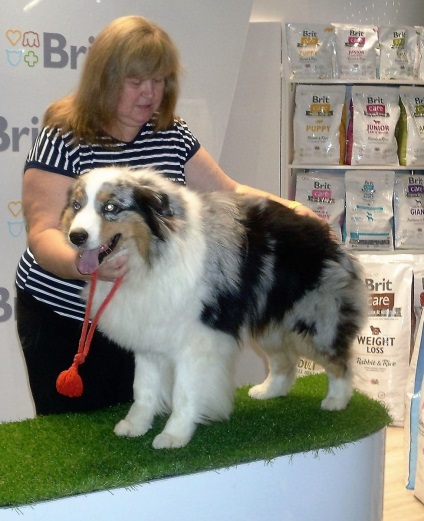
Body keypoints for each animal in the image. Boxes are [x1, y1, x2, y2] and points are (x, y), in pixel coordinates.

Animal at [60, 166, 368, 446]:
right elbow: (143, 387)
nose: (76, 236)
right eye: (76, 206)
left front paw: (174, 435)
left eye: (110, 207)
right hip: (269, 320)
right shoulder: (150, 333)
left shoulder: (196, 339)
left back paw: (337, 400)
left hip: (315, 319)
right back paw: (269, 391)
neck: (151, 256)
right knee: (285, 361)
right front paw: (136, 424)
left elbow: (184, 392)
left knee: (339, 361)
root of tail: (328, 235)